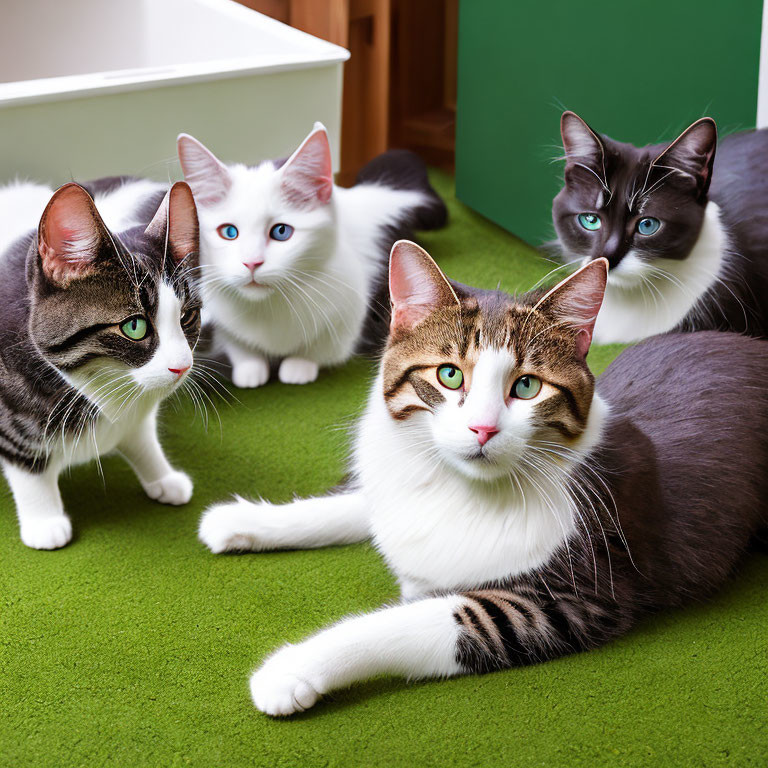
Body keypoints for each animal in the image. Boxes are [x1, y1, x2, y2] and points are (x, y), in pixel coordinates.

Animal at [0, 178, 202, 552]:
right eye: (134, 326)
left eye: (187, 317)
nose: (182, 366)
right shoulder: (10, 419)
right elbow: (27, 463)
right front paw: (44, 520)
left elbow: (141, 438)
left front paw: (162, 476)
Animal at [176, 123, 448, 388]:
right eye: (229, 232)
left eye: (281, 231)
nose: (252, 262)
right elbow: (237, 343)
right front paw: (250, 367)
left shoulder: (348, 311)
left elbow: (322, 347)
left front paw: (299, 365)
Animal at [200, 243, 768, 716]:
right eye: (449, 374)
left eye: (528, 386)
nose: (483, 427)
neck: (461, 488)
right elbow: (350, 504)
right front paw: (239, 521)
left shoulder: (567, 596)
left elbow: (410, 621)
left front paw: (292, 668)